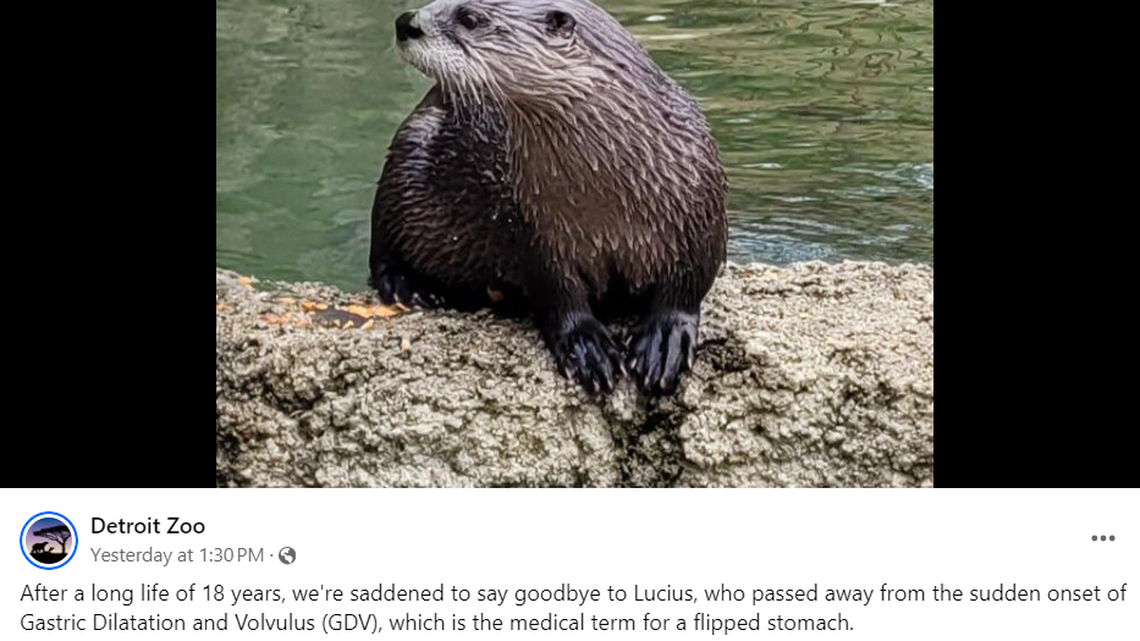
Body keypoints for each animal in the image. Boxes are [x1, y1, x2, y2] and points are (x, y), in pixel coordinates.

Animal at [369, 0, 727, 395]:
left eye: (469, 18)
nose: (406, 23)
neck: (607, 197)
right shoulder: (533, 228)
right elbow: (556, 294)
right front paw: (584, 344)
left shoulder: (701, 206)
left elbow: (688, 284)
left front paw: (666, 338)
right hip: (407, 154)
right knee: (380, 249)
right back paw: (407, 286)